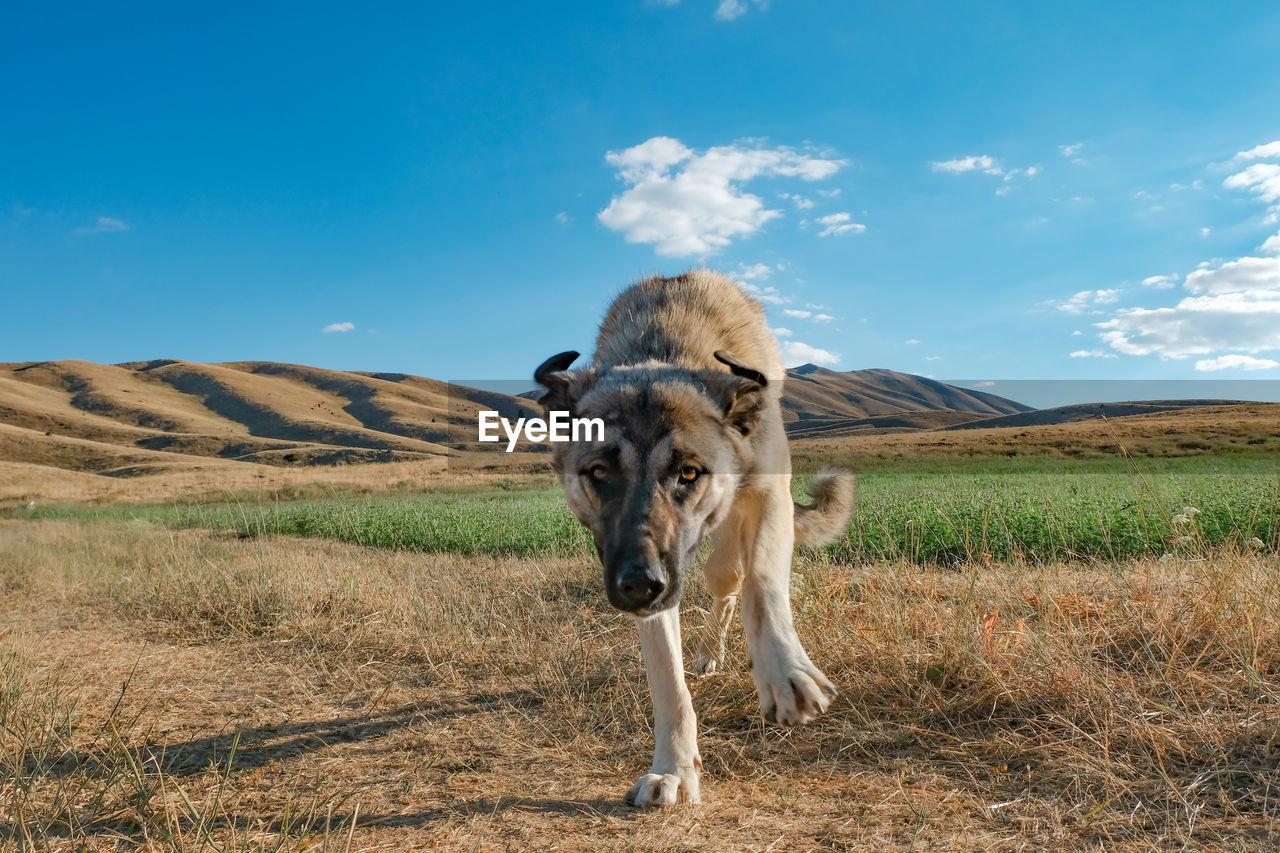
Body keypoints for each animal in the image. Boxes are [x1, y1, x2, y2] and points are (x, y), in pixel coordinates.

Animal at [535, 267, 855, 804]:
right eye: (599, 472)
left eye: (688, 472)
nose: (639, 585)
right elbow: (668, 679)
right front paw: (674, 769)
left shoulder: (771, 495)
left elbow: (763, 585)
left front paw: (783, 671)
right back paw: (706, 656)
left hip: (725, 543)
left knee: (731, 577)